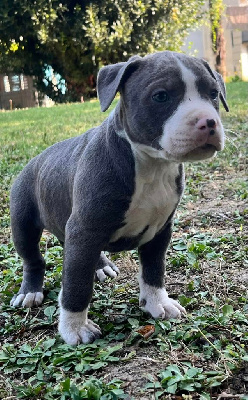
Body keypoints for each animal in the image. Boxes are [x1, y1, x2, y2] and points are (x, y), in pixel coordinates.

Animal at [9, 51, 229, 346]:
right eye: (161, 96)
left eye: (214, 94)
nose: (208, 122)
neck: (152, 165)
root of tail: (34, 161)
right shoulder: (85, 228)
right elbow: (76, 284)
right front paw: (75, 327)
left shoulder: (160, 230)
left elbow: (154, 270)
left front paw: (158, 303)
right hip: (24, 220)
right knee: (33, 258)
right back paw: (30, 291)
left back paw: (100, 267)